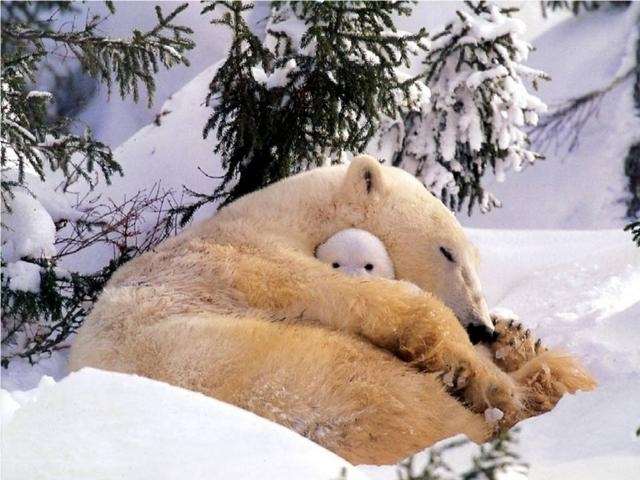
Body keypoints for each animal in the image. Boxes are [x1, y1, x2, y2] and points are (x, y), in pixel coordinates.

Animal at [70, 156, 596, 464]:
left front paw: (512, 334)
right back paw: (531, 390)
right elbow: (384, 303)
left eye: (475, 259)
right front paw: (489, 379)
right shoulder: (250, 263)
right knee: (402, 399)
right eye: (447, 251)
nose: (480, 326)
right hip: (299, 375)